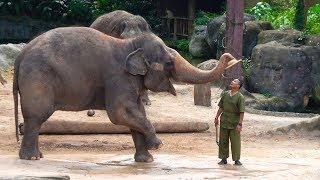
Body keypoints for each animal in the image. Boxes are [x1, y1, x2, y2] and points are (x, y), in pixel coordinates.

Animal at [14, 27, 235, 162]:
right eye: (169, 63)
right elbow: (119, 114)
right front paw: (157, 146)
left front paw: (146, 160)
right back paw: (32, 158)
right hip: (38, 79)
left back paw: (37, 156)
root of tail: (21, 54)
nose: (229, 55)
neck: (129, 44)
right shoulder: (118, 78)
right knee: (36, 117)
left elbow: (137, 113)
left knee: (35, 120)